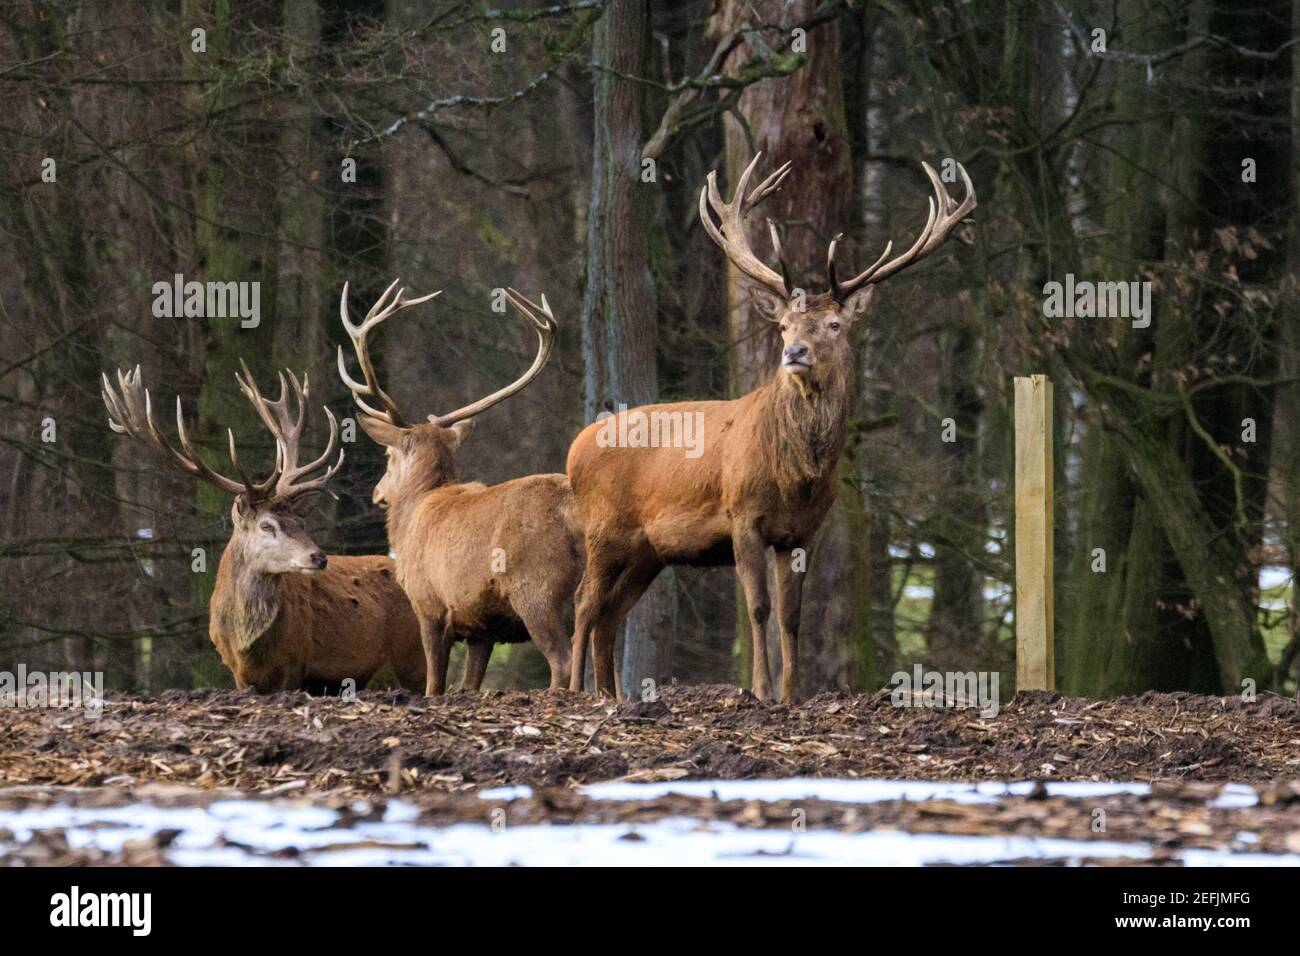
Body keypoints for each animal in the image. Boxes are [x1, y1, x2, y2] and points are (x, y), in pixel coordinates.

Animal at [105, 361, 426, 691]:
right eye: (267, 526)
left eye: (300, 522)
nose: (319, 557)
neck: (247, 648)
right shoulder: (237, 673)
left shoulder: (295, 667)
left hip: (412, 660)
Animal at [335, 278, 585, 697]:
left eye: (387, 455)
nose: (376, 493)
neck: (416, 510)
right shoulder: (481, 625)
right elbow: (470, 683)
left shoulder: (430, 604)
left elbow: (435, 682)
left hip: (537, 586)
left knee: (562, 657)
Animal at [569, 151, 977, 702]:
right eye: (784, 325)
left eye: (834, 325)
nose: (794, 352)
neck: (795, 478)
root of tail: (575, 448)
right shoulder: (742, 515)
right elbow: (758, 607)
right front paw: (760, 689)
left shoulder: (803, 532)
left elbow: (791, 615)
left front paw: (793, 692)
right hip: (603, 528)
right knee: (583, 604)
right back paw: (569, 689)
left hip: (646, 551)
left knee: (610, 614)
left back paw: (609, 695)